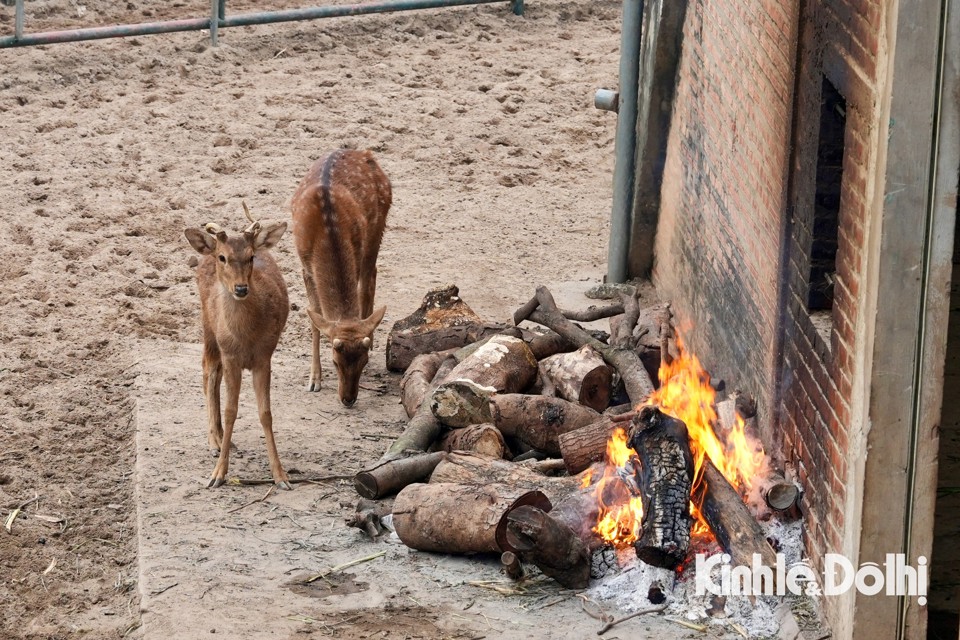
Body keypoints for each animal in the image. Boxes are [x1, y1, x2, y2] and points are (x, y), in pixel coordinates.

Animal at [185, 205, 292, 490]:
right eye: (223, 257)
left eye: (251, 256)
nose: (241, 288)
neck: (245, 337)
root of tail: (204, 252)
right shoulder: (231, 355)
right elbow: (231, 411)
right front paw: (217, 475)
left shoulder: (265, 355)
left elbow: (266, 413)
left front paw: (281, 476)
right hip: (208, 326)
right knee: (208, 369)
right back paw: (215, 440)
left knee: (213, 372)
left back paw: (223, 438)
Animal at [294, 149, 392, 404]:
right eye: (335, 361)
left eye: (364, 361)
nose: (348, 399)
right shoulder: (305, 267)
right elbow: (315, 319)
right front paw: (314, 380)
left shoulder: (356, 250)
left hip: (378, 225)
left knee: (369, 279)